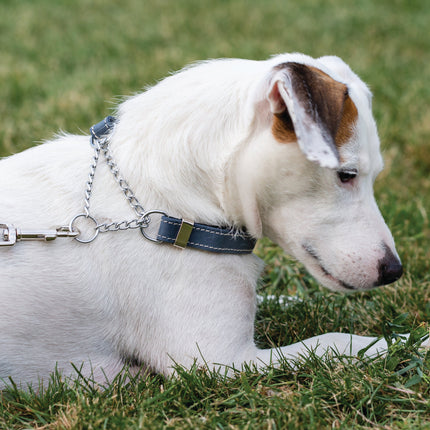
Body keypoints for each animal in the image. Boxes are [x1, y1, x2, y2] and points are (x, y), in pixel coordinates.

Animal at [0, 54, 404, 390]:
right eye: (347, 174)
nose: (394, 271)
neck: (161, 208)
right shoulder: (219, 361)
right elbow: (333, 342)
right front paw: (401, 341)